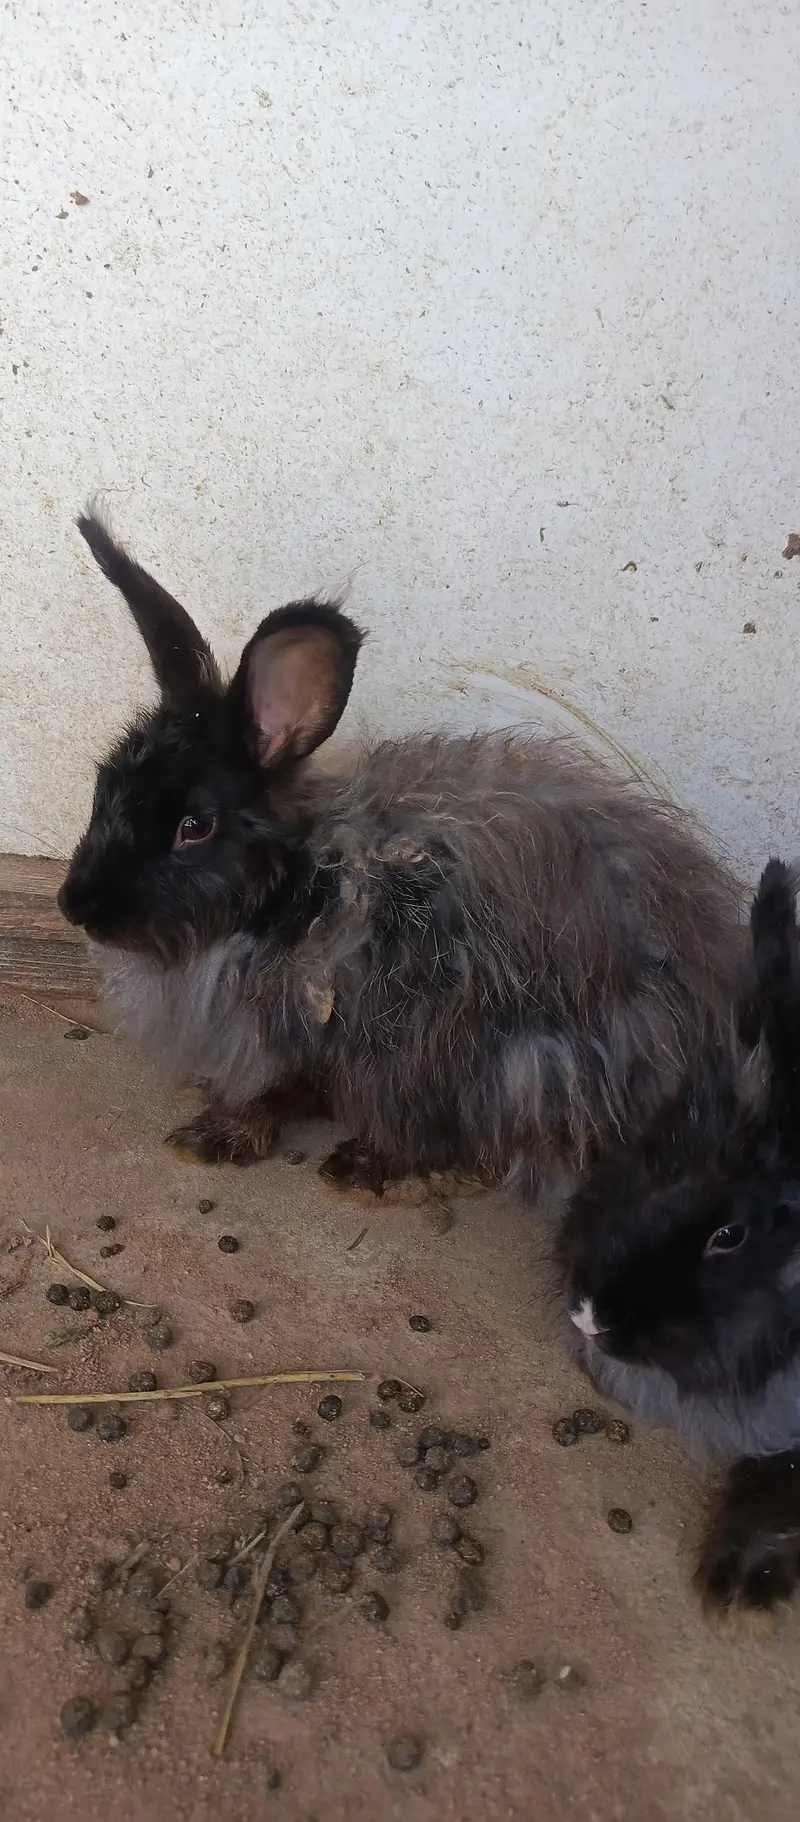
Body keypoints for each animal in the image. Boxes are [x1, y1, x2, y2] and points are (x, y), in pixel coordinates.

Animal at [59, 510, 745, 1206]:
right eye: (104, 784)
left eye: (193, 827)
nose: (75, 905)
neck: (291, 891)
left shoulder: (310, 1027)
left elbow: (275, 1089)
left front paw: (214, 1137)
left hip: (490, 1058)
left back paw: (364, 1169)